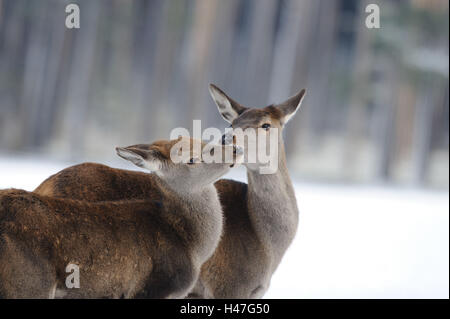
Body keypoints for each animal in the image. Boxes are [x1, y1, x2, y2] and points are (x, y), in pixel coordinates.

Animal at [33, 85, 304, 300]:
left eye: (266, 125)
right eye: (232, 123)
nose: (228, 139)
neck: (267, 244)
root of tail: (42, 186)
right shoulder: (229, 284)